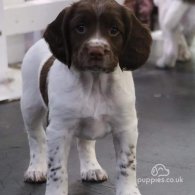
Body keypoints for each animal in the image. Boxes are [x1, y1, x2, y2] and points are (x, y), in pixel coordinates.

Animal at [20, 0, 152, 194]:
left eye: (114, 30)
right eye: (80, 28)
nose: (96, 51)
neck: (94, 83)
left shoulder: (126, 127)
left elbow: (126, 165)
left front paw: (128, 191)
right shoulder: (59, 130)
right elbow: (57, 170)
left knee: (85, 142)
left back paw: (91, 168)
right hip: (30, 107)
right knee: (36, 137)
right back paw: (36, 169)